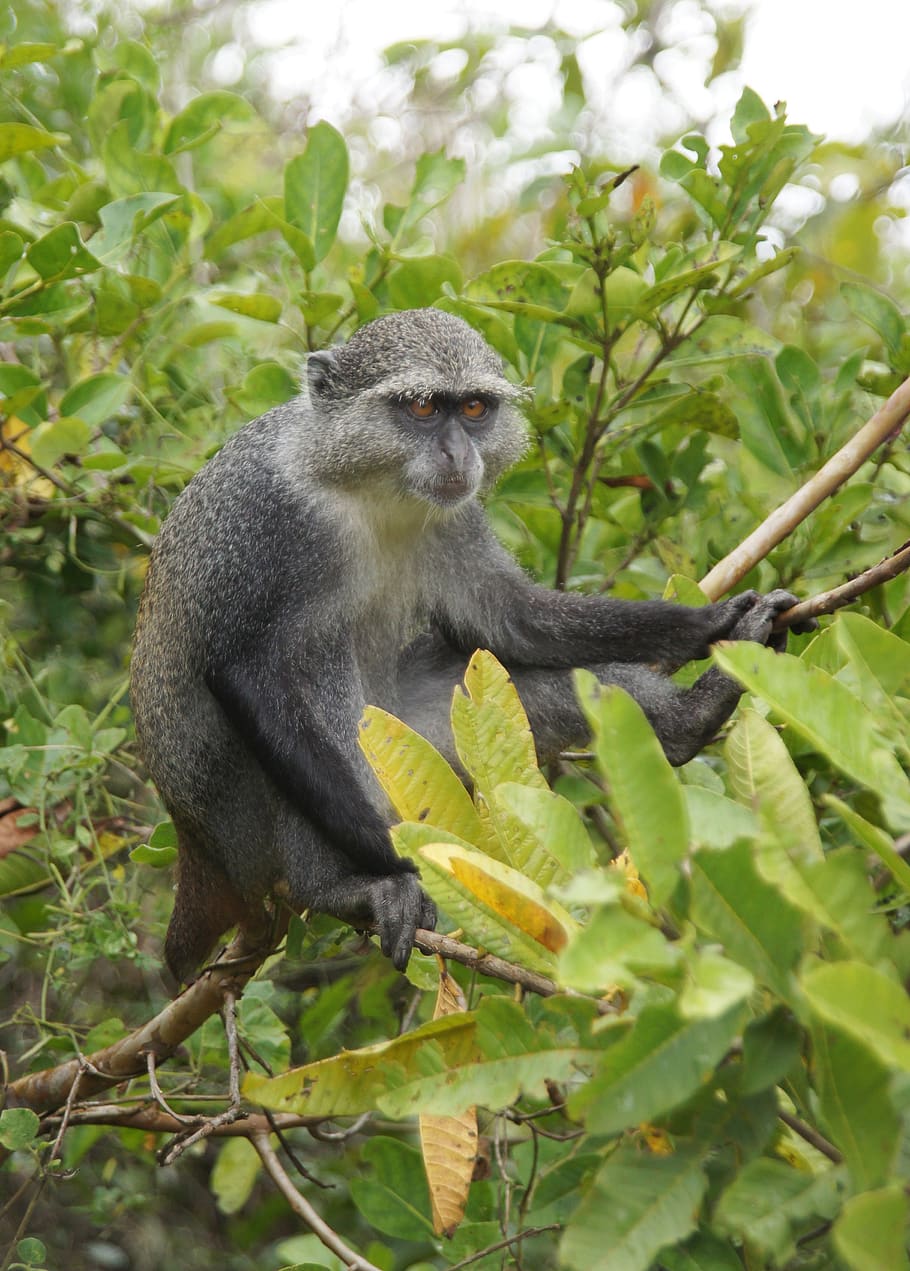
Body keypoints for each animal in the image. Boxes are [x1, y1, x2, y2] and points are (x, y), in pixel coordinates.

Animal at [130, 307, 806, 981]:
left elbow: (510, 620)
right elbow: (247, 675)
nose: (458, 452)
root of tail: (197, 850)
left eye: (475, 408)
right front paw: (396, 865)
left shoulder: (457, 517)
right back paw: (341, 889)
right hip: (240, 817)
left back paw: (690, 720)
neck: (364, 486)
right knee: (306, 685)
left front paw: (713, 622)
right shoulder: (266, 520)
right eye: (424, 407)